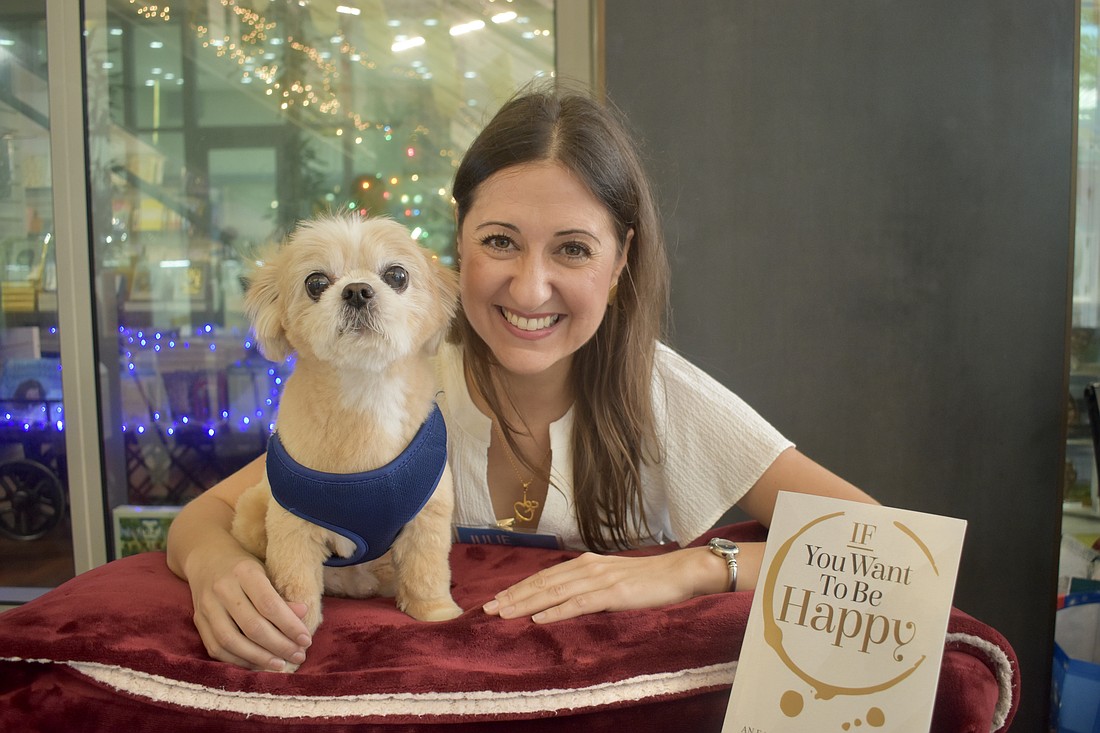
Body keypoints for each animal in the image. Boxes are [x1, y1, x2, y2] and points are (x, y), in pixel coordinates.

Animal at [233, 212, 464, 669]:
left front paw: (434, 612)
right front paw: (290, 646)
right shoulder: (292, 526)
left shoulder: (428, 516)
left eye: (396, 276)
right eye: (316, 282)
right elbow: (296, 589)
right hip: (251, 513)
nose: (357, 290)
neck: (363, 393)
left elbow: (426, 570)